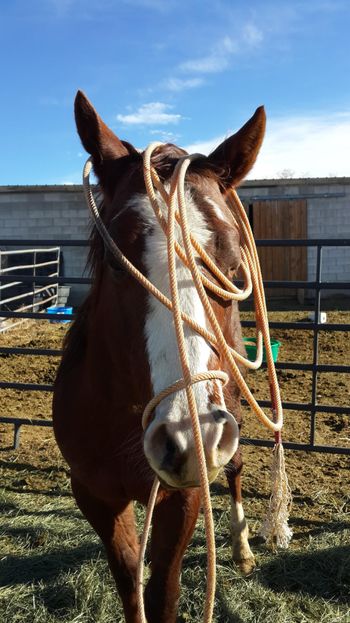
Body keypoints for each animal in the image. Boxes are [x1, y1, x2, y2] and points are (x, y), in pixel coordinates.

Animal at [52, 89, 266, 623]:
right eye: (116, 260)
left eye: (232, 268)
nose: (190, 438)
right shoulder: (95, 495)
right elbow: (131, 581)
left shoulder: (182, 497)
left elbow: (163, 588)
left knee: (235, 469)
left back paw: (241, 548)